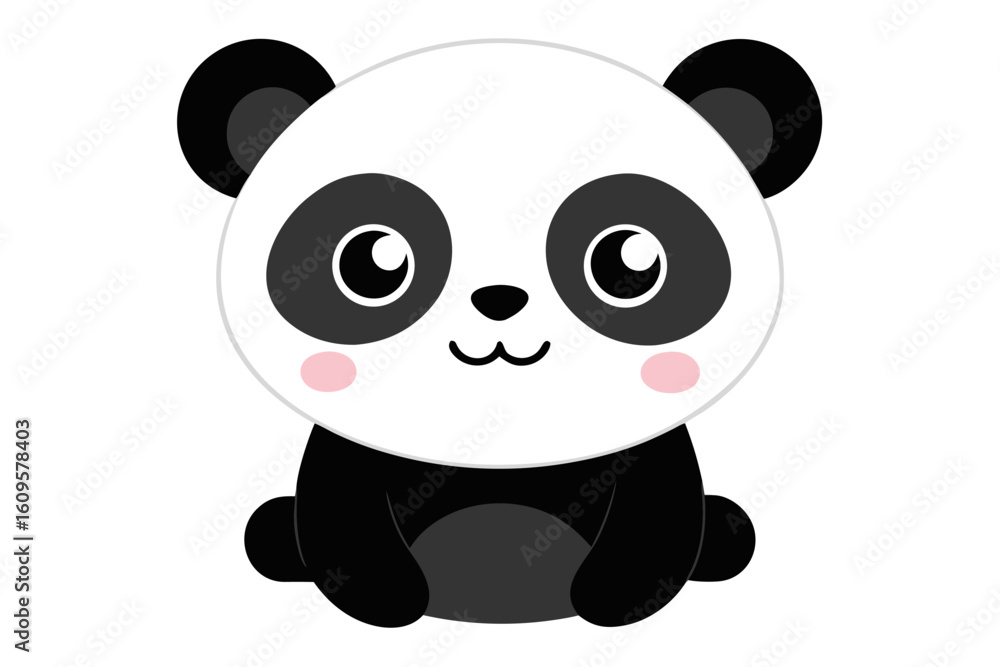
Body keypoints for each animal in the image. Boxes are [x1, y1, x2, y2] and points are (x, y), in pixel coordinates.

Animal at [178, 37, 821, 628]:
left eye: (628, 259)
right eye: (370, 261)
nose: (499, 298)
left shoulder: (646, 447)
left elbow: (661, 507)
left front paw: (613, 595)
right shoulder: (353, 448)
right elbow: (338, 506)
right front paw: (389, 596)